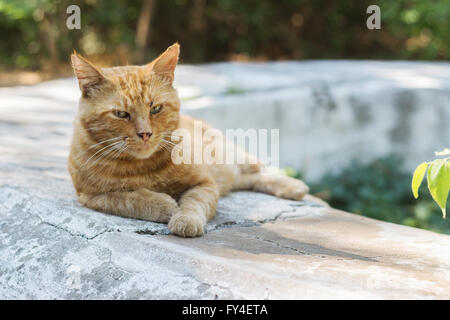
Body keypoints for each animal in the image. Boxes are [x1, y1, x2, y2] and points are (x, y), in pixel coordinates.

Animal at [68, 43, 310, 238]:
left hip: (235, 158)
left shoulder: (205, 184)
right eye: (121, 114)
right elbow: (128, 199)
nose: (145, 133)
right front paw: (163, 204)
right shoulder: (91, 196)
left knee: (258, 170)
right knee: (245, 179)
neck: (142, 168)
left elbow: (193, 203)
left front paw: (185, 219)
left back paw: (293, 186)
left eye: (155, 109)